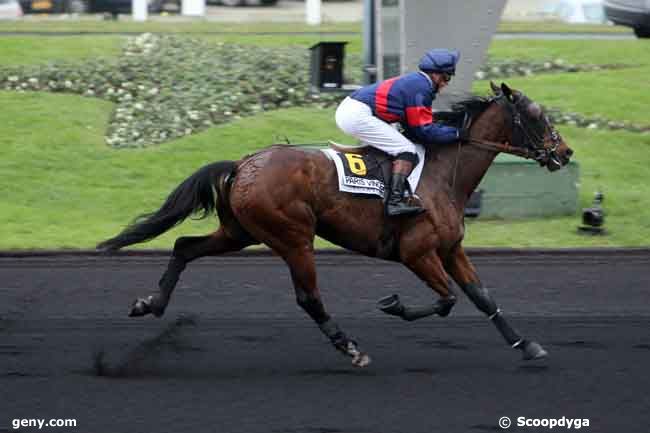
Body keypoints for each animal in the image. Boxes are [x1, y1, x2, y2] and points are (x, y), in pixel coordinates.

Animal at [97, 81, 572, 364]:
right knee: (309, 298)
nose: (564, 153)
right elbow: (447, 300)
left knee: (185, 248)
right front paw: (393, 304)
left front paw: (527, 344)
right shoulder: (416, 253)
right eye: (537, 116)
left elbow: (482, 297)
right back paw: (349, 347)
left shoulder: (450, 249)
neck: (442, 173)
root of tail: (243, 164)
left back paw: (150, 304)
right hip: (292, 237)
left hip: (241, 231)